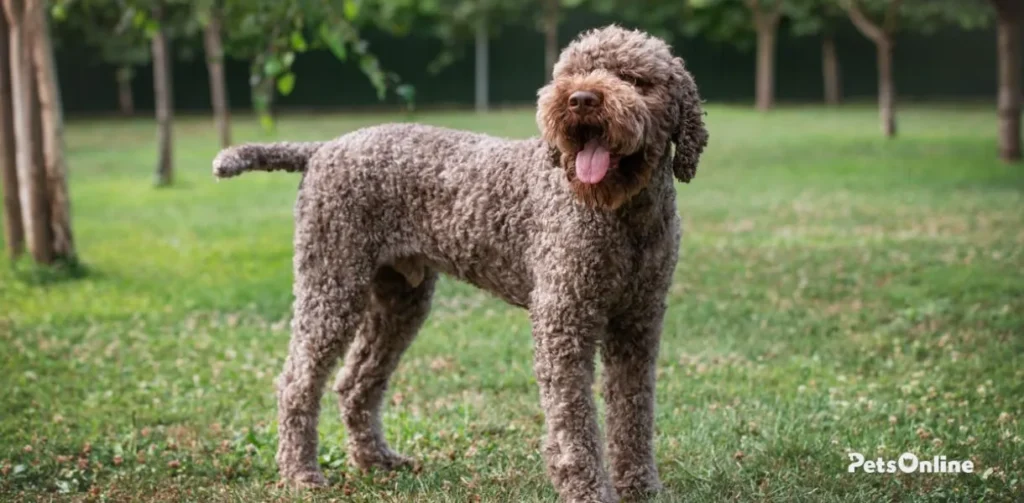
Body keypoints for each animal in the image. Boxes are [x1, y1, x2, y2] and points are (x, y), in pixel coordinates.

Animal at [211, 25, 708, 503]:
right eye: (572, 72)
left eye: (634, 80)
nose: (581, 99)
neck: (624, 216)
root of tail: (323, 147)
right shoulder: (564, 322)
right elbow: (574, 425)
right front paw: (587, 490)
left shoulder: (638, 324)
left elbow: (633, 414)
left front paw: (641, 486)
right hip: (331, 287)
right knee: (296, 383)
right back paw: (300, 474)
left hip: (398, 302)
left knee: (355, 382)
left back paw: (376, 461)